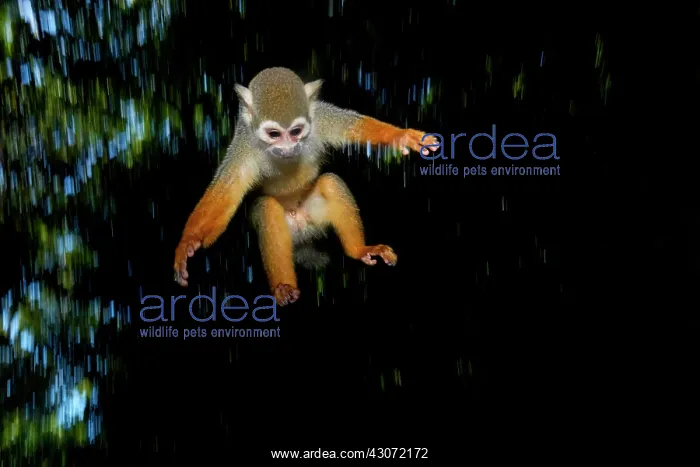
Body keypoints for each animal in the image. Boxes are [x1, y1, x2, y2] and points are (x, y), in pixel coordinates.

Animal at [173, 67, 438, 306]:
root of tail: (302, 227)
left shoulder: (319, 117)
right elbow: (227, 189)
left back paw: (358, 250)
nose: (288, 147)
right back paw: (284, 286)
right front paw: (188, 242)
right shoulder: (244, 141)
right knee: (267, 209)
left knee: (330, 182)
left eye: (296, 131)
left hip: (316, 216)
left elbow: (354, 127)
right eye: (274, 134)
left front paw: (402, 136)